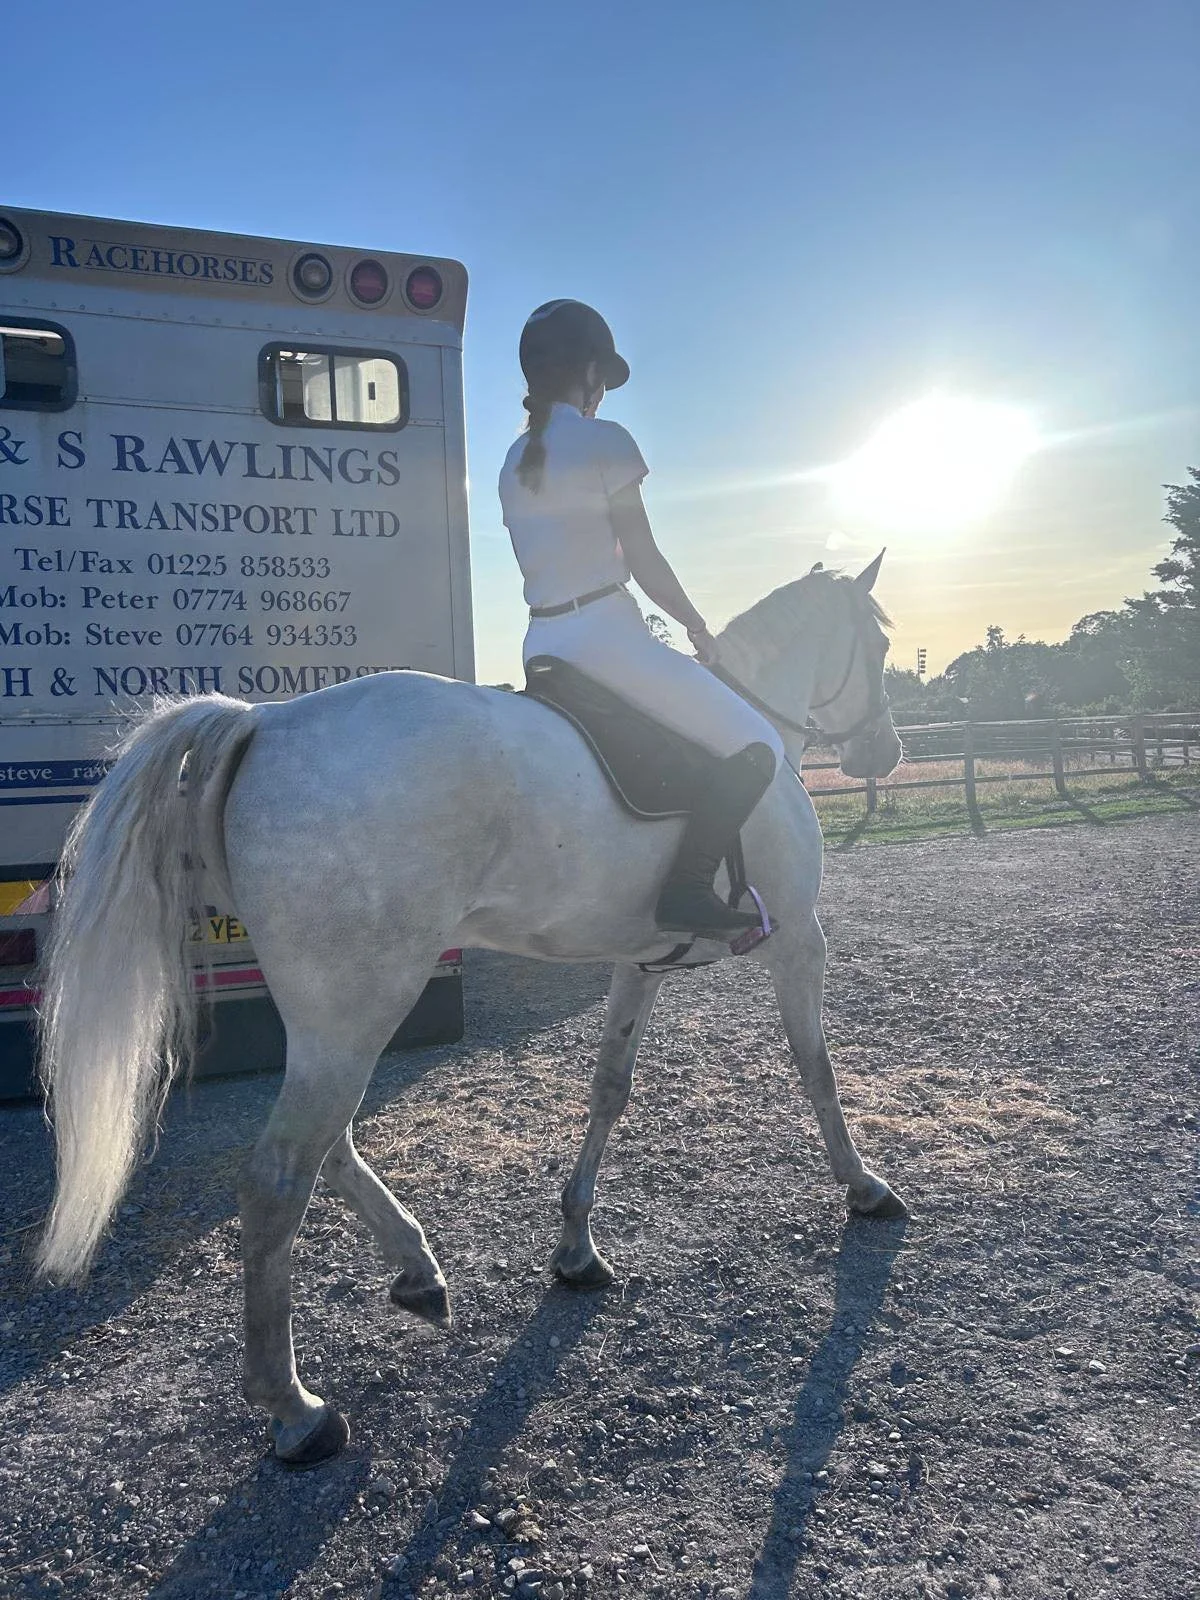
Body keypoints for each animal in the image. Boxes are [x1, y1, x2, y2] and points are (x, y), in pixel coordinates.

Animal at [36, 555, 906, 1466]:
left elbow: (610, 1088)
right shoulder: (801, 941)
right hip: (360, 1007)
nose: (887, 750)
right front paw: (865, 1187)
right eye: (879, 645)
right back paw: (298, 1410)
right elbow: (817, 1071)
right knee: (278, 1179)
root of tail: (266, 720)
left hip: (331, 1017)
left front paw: (576, 1248)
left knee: (329, 1146)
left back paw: (417, 1271)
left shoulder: (641, 965)